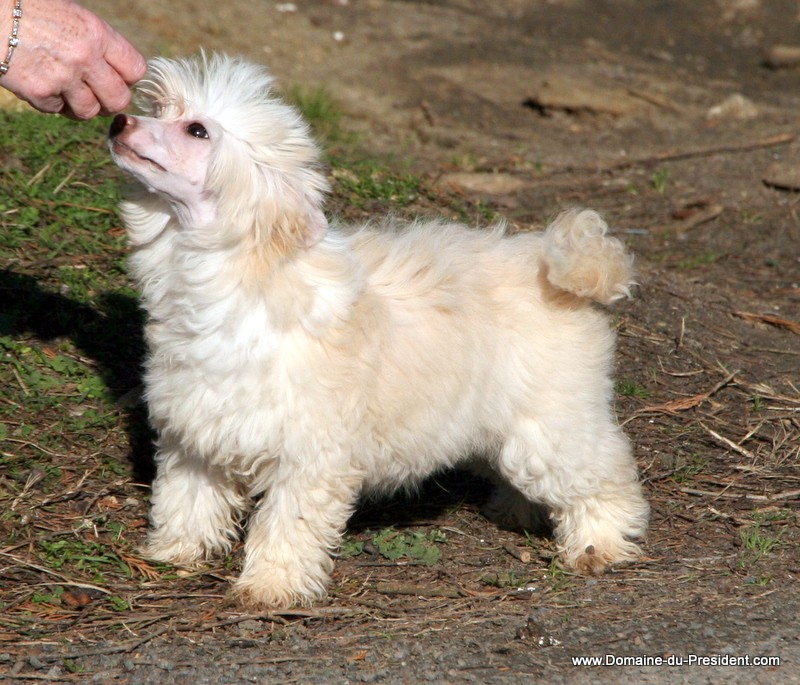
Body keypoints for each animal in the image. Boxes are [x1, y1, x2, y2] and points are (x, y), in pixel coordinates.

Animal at [108, 54, 648, 608]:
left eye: (196, 130)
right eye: (161, 109)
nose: (119, 121)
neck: (243, 272)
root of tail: (563, 275)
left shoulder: (309, 456)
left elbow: (288, 524)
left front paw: (272, 585)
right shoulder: (195, 430)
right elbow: (189, 496)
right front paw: (176, 550)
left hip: (551, 427)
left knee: (604, 477)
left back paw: (599, 543)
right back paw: (515, 511)